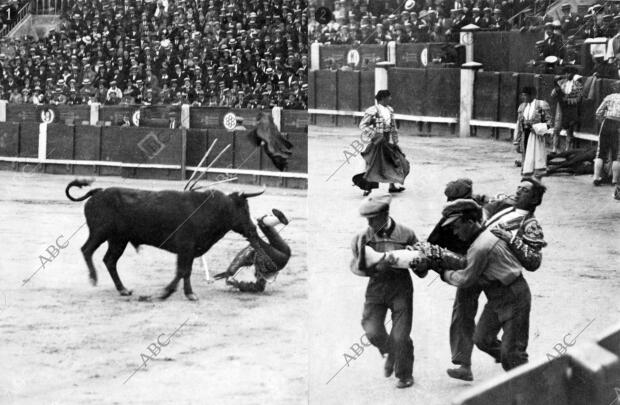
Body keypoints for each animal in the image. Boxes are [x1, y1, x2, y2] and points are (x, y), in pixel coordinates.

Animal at [65, 179, 274, 300]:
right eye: (244, 209)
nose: (253, 229)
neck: (210, 209)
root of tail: (98, 192)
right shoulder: (186, 247)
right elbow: (183, 271)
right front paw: (172, 293)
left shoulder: (189, 250)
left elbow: (184, 271)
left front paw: (181, 292)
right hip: (100, 233)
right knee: (87, 250)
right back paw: (94, 278)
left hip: (118, 241)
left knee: (109, 260)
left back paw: (123, 289)